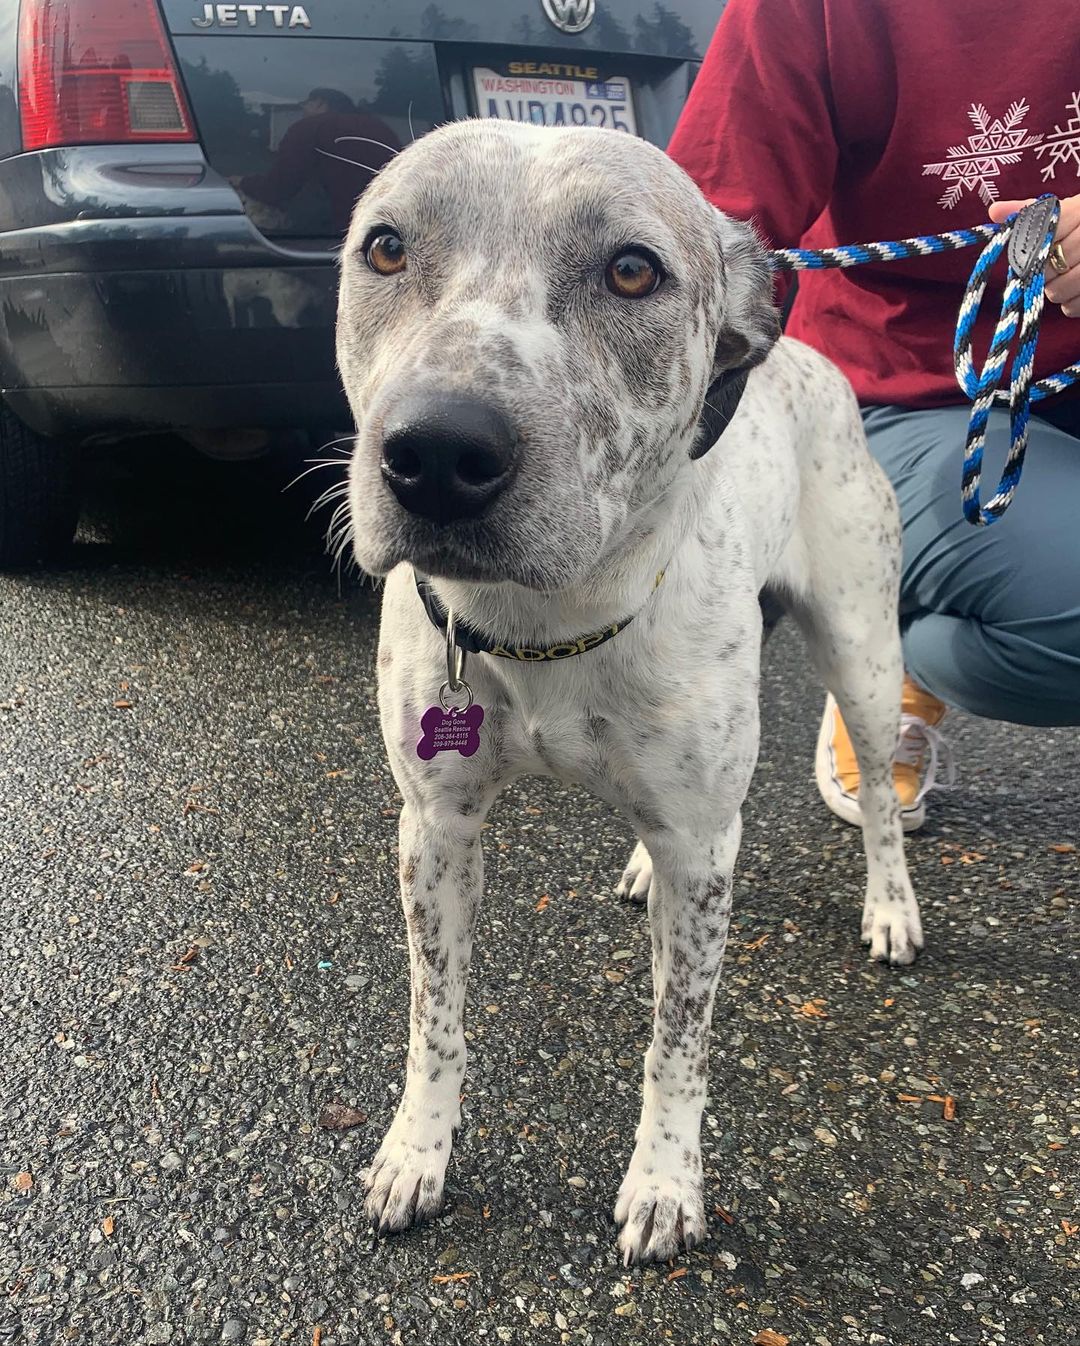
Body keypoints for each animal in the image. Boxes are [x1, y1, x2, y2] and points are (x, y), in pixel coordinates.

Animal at [336, 121, 915, 1265]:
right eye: (386, 246)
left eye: (633, 270)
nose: (438, 450)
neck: (545, 627)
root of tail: (813, 360)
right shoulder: (435, 827)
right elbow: (436, 1017)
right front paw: (418, 1152)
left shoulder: (703, 857)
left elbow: (676, 1039)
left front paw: (664, 1181)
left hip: (864, 652)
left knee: (875, 790)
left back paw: (890, 904)